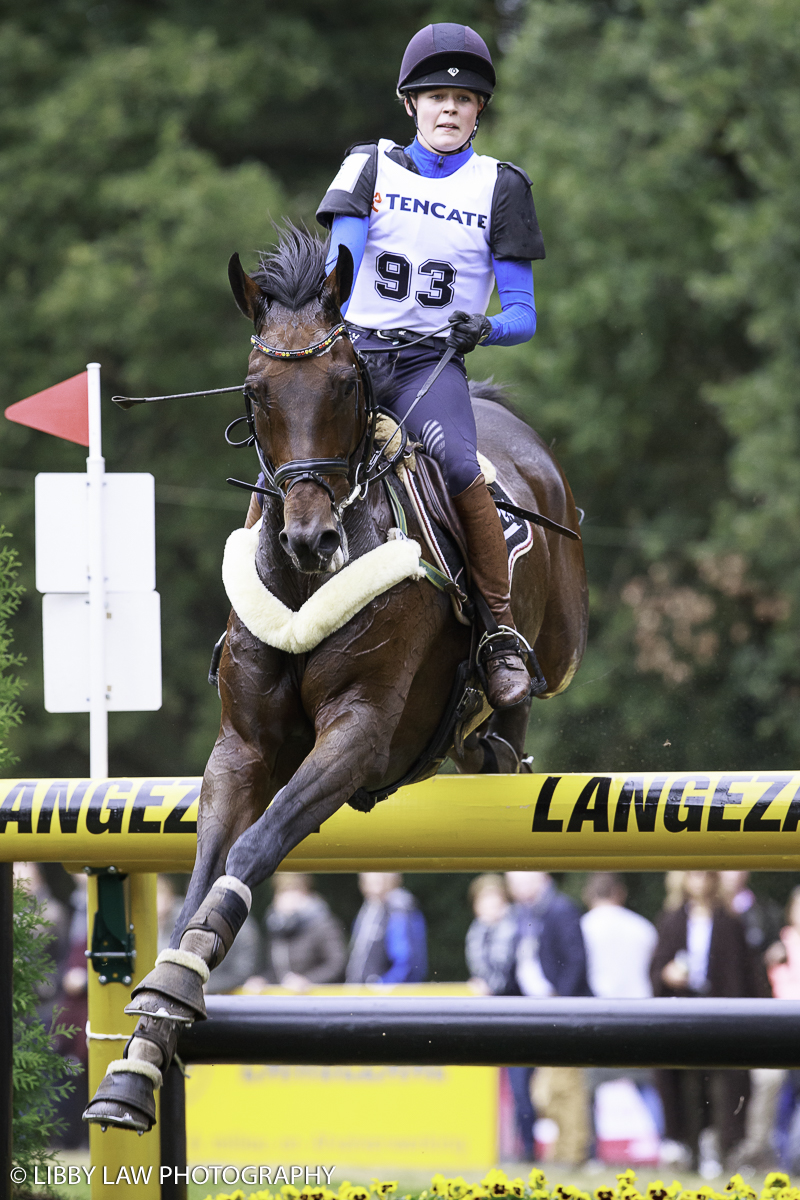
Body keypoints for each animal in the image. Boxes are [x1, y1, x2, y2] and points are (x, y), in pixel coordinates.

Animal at [84, 225, 592, 1132]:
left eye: (348, 381)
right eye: (256, 390)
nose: (310, 538)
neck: (302, 585)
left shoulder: (358, 735)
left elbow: (254, 846)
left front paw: (176, 987)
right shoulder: (244, 747)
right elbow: (206, 865)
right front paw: (137, 1061)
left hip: (559, 642)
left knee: (522, 701)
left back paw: (500, 684)